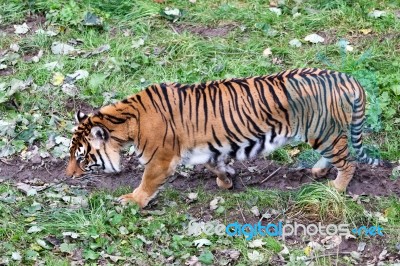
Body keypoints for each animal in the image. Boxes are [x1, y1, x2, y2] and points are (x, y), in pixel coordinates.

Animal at [65, 67, 378, 207]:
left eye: (81, 158)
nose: (67, 175)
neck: (127, 123)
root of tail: (347, 78)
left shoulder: (160, 159)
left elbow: (147, 181)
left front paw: (132, 200)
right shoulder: (204, 148)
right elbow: (214, 163)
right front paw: (226, 180)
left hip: (323, 132)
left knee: (349, 162)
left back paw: (336, 188)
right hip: (323, 134)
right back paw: (317, 172)